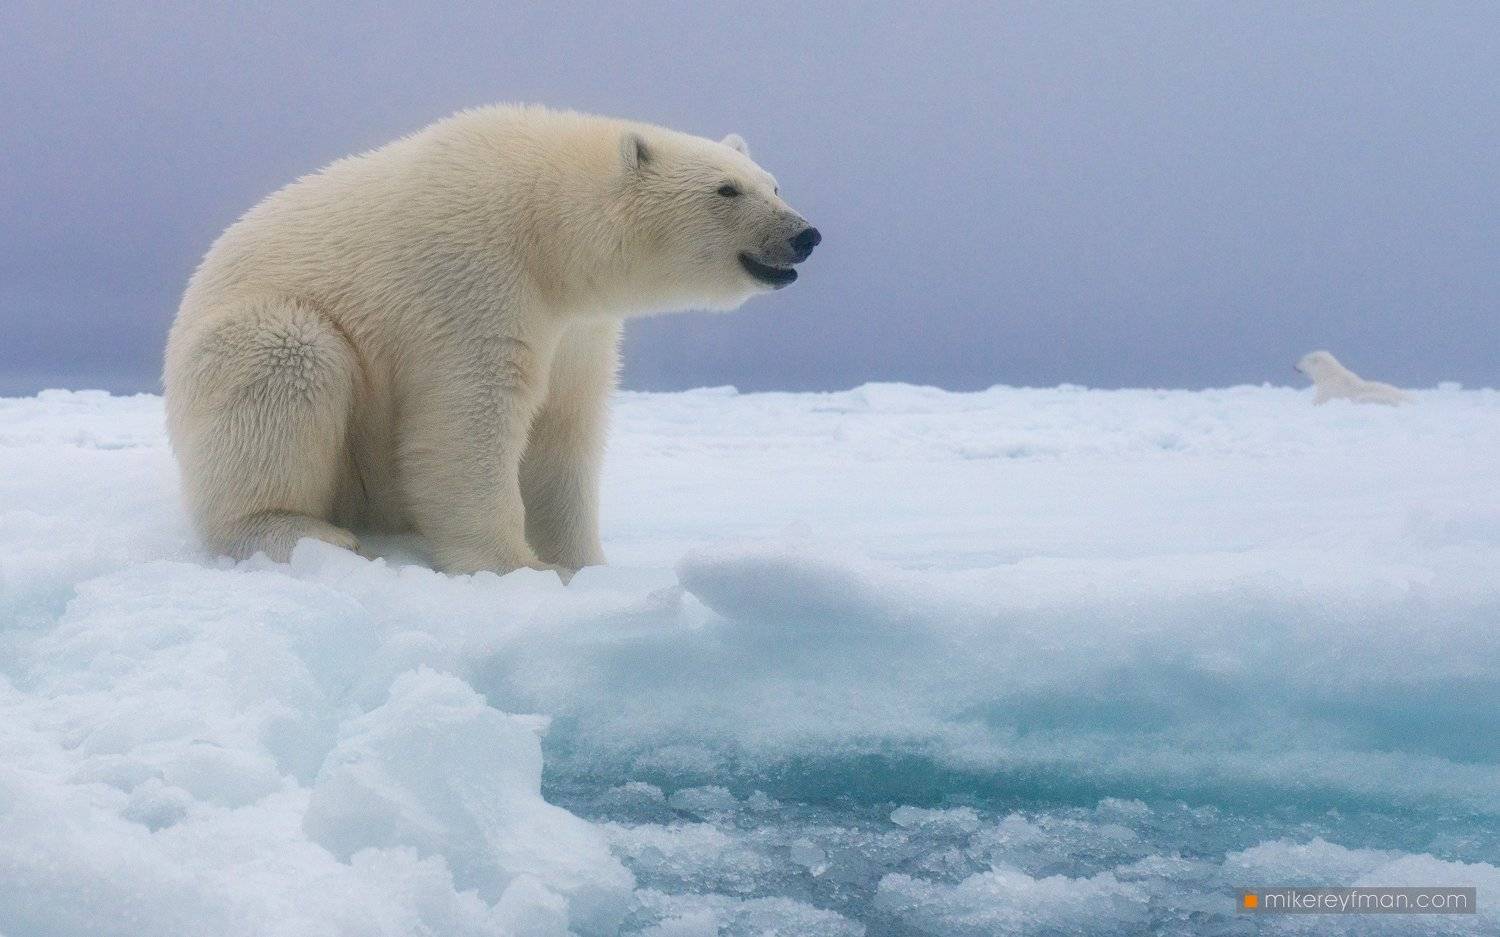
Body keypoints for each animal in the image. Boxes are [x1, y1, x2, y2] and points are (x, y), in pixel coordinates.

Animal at [163, 105, 819, 576]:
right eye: (726, 190)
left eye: (774, 184)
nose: (805, 235)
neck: (545, 228)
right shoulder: (472, 278)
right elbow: (467, 420)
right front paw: (515, 567)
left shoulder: (578, 327)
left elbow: (565, 428)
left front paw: (584, 563)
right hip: (256, 339)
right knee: (287, 364)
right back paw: (298, 532)